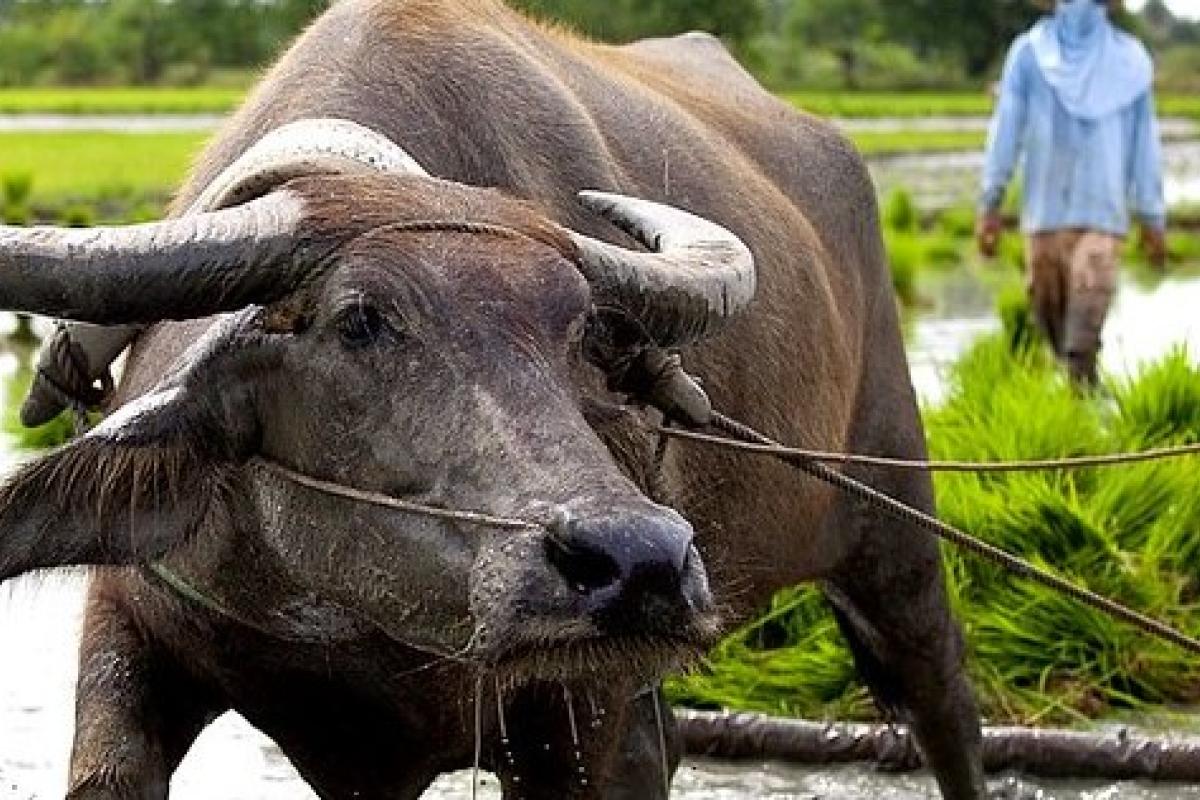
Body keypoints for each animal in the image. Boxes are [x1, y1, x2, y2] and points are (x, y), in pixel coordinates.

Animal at [0, 1, 986, 798]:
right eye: (360, 320)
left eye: (582, 332)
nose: (641, 562)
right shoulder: (130, 646)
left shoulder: (581, 717)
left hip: (896, 524)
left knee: (946, 707)